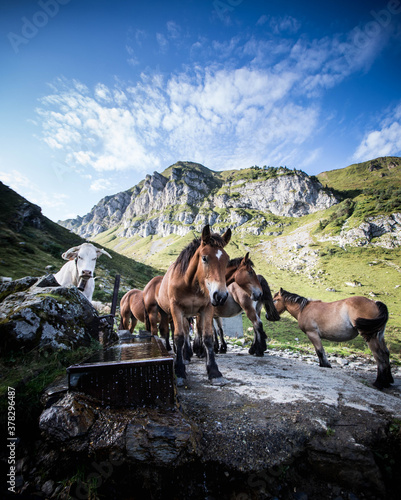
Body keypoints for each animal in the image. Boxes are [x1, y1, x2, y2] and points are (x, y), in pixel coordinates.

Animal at [156, 225, 231, 384]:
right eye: (204, 258)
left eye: (227, 260)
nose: (220, 296)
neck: (190, 284)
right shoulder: (177, 309)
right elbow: (178, 337)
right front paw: (179, 370)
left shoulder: (207, 309)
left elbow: (208, 337)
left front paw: (213, 370)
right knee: (180, 333)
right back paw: (184, 356)